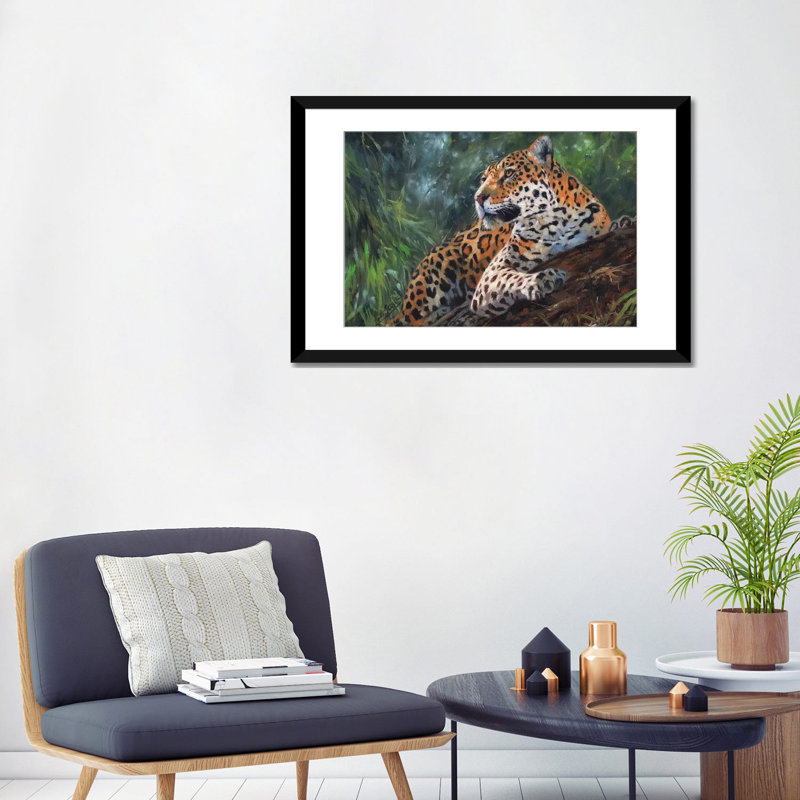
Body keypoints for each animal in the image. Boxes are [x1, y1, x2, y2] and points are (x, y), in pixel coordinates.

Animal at [388, 136, 613, 325]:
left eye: (509, 174)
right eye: (483, 180)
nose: (478, 197)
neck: (554, 221)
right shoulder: (491, 274)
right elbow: (511, 278)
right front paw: (543, 279)